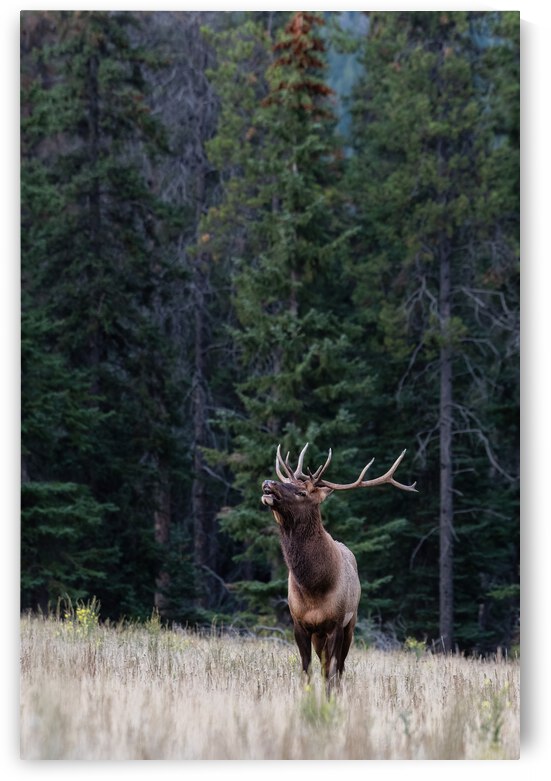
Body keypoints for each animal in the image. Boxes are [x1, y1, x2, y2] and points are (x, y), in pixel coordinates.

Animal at [261, 443, 417, 689]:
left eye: (302, 492)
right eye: (287, 482)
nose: (269, 482)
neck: (313, 587)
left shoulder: (336, 623)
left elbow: (332, 672)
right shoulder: (299, 623)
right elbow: (306, 670)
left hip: (350, 623)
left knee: (339, 667)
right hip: (320, 635)